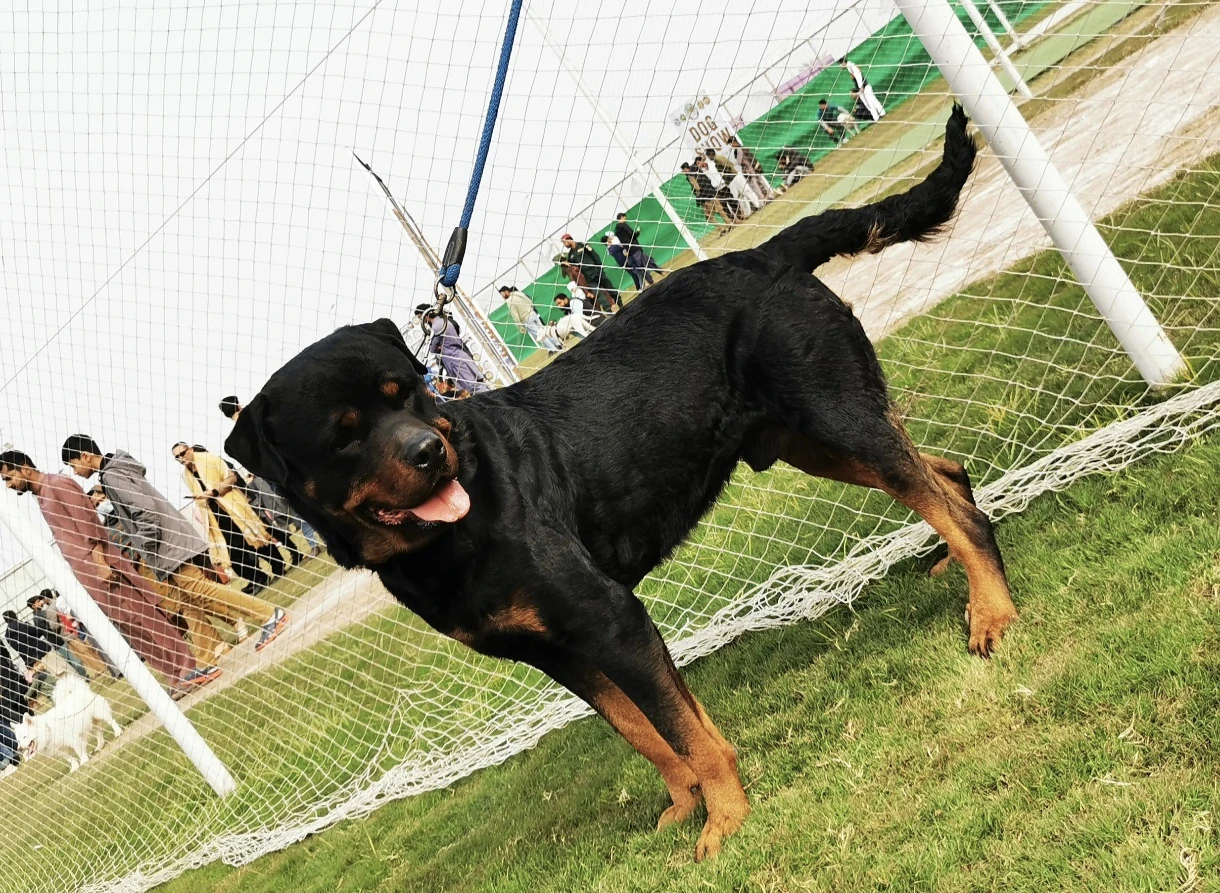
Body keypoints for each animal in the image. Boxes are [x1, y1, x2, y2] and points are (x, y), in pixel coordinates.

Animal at [224, 107, 1015, 863]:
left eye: (409, 393)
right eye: (345, 434)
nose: (427, 452)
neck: (455, 532)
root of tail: (765, 253)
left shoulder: (609, 617)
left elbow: (685, 730)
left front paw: (725, 819)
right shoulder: (556, 652)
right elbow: (644, 734)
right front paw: (682, 805)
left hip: (834, 413)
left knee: (940, 496)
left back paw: (991, 612)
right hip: (807, 439)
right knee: (944, 477)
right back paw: (958, 570)